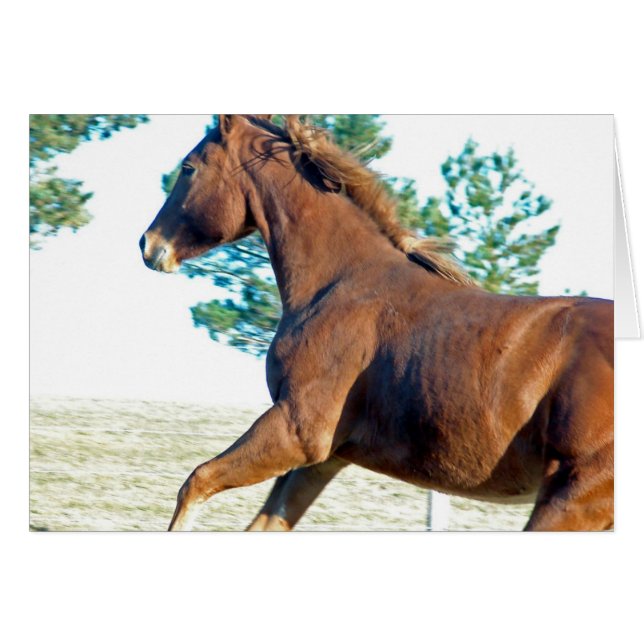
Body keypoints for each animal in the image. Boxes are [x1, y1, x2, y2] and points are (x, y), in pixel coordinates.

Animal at [140, 115, 614, 531]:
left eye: (189, 167)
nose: (149, 244)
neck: (337, 283)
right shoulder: (324, 457)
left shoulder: (297, 430)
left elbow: (196, 481)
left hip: (576, 498)